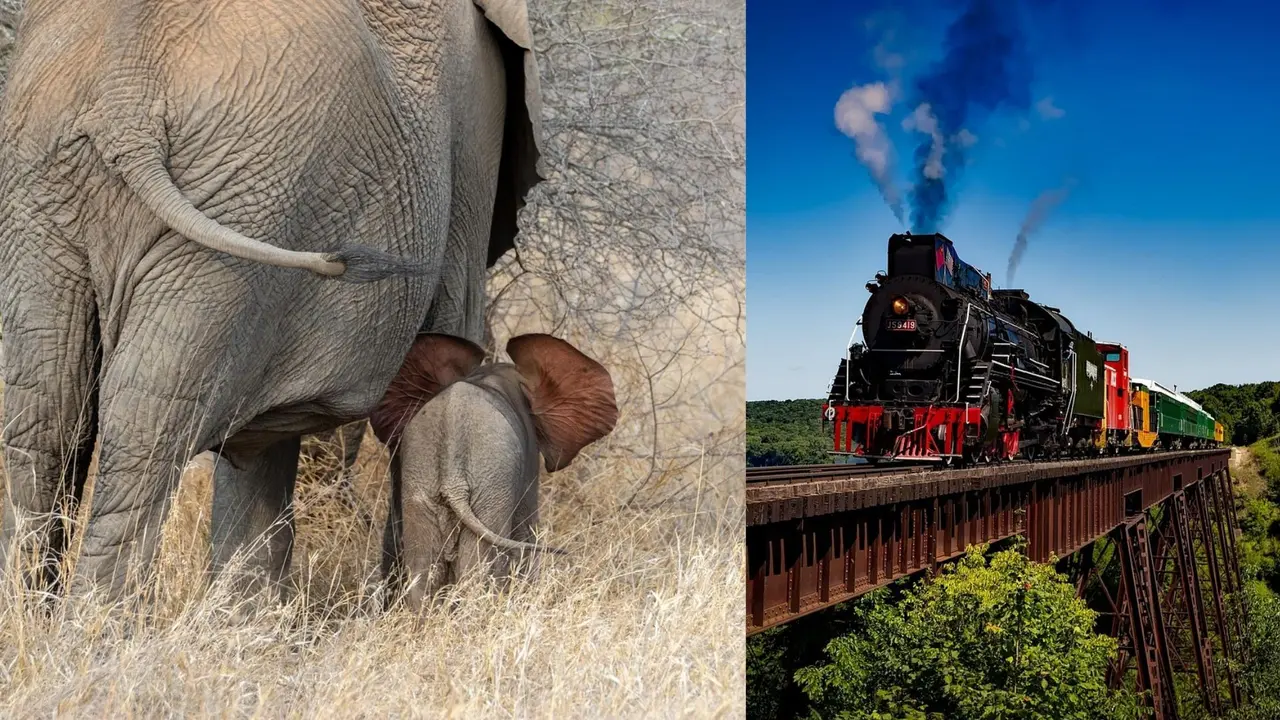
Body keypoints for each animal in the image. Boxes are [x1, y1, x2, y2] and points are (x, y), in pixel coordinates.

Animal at [0, 0, 545, 600]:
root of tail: (126, 97)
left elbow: (258, 447)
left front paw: (245, 611)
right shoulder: (476, 122)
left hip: (54, 183)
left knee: (45, 412)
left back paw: (41, 615)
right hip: (250, 200)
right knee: (143, 427)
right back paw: (95, 621)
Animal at [366, 332, 617, 607]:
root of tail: (453, 479)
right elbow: (526, 531)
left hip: (422, 483)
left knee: (422, 571)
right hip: (491, 485)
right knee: (476, 569)